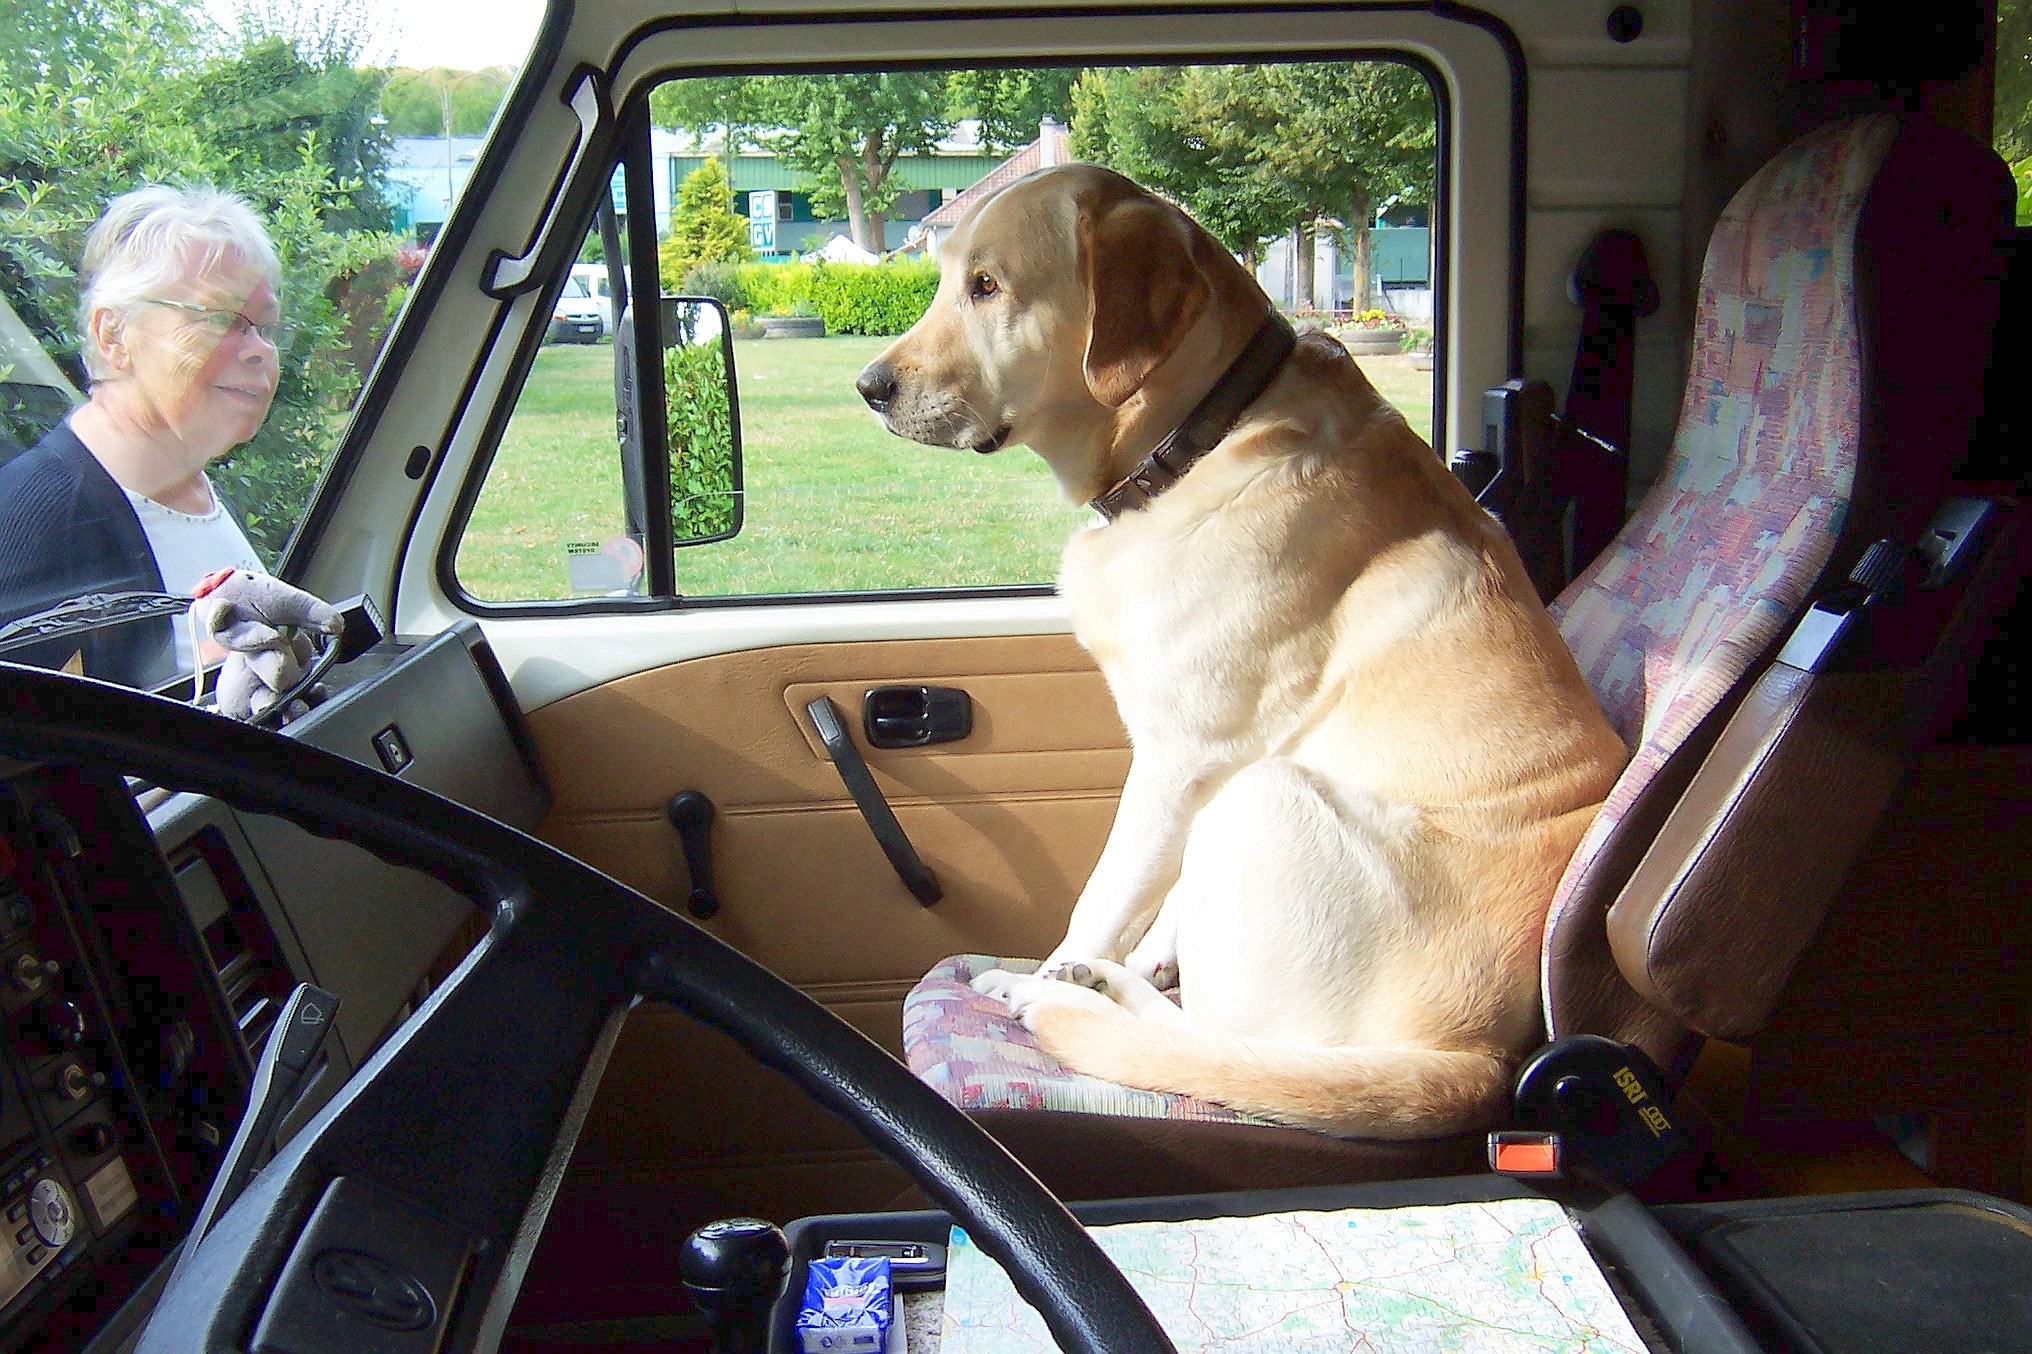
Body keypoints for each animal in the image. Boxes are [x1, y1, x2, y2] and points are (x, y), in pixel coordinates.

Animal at [861, 165, 1633, 1138]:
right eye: (942, 277)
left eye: (987, 287)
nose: (867, 386)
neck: (1202, 437)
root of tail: (1479, 1059)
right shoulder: (1187, 772)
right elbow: (1156, 900)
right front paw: (1126, 958)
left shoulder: (1178, 761)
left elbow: (1103, 898)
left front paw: (1052, 968)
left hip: (1267, 795)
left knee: (1214, 1042)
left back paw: (1070, 993)